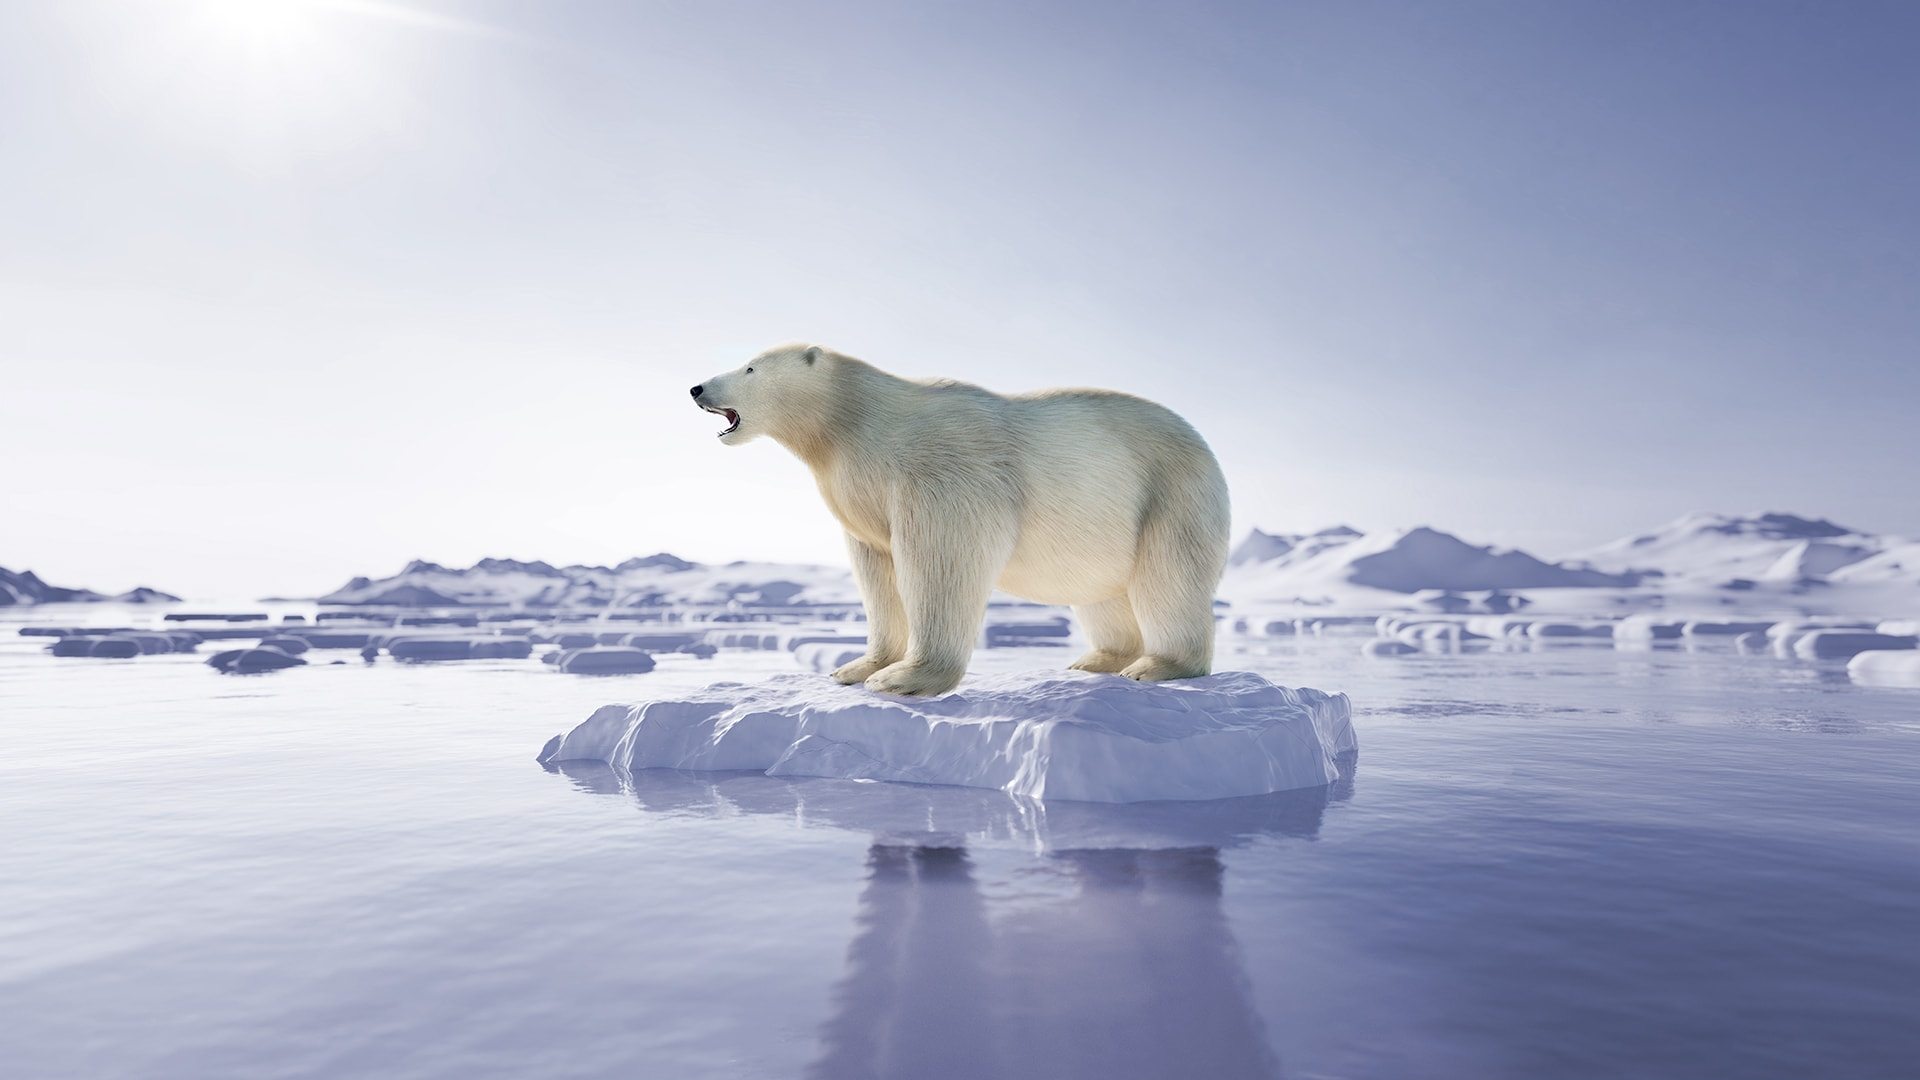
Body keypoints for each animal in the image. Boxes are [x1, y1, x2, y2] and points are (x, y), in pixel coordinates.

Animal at [691, 343, 1228, 699]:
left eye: (749, 366)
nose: (696, 387)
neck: (854, 423)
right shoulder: (862, 496)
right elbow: (877, 573)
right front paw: (856, 667)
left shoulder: (941, 470)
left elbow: (941, 561)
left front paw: (903, 678)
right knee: (1102, 592)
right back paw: (1095, 660)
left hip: (1170, 494)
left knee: (1168, 579)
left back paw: (1155, 666)